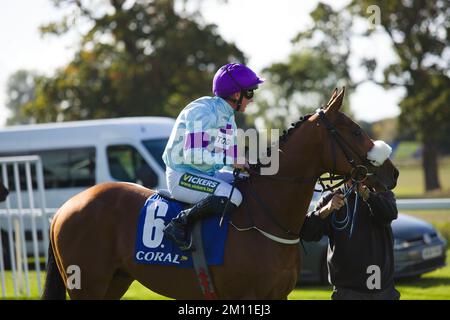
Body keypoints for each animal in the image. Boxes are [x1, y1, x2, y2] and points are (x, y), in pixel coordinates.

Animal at [43, 88, 398, 300]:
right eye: (356, 131)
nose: (391, 173)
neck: (268, 217)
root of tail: (65, 208)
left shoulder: (277, 295)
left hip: (115, 281)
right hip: (87, 283)